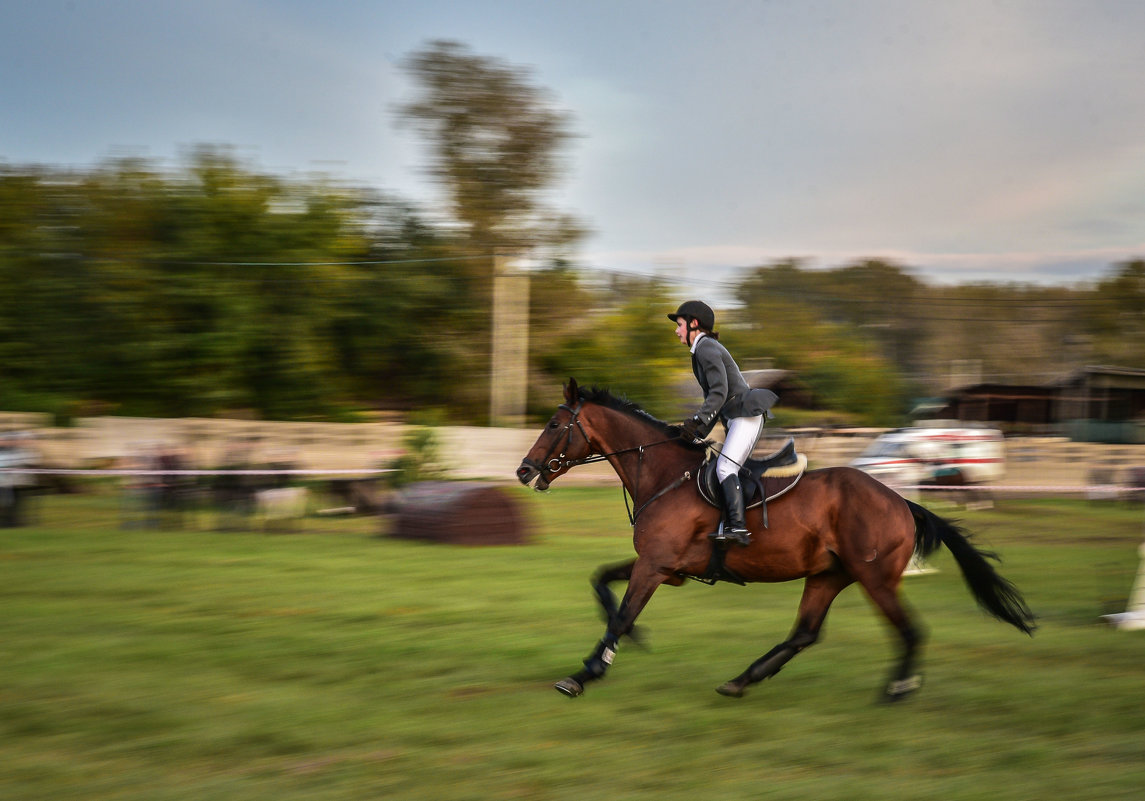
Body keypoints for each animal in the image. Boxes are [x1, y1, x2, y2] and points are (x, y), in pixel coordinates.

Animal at [515, 377, 1035, 695]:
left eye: (554, 424)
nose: (524, 471)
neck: (663, 473)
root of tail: (900, 501)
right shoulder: (665, 567)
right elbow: (602, 583)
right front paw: (621, 645)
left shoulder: (657, 565)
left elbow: (622, 613)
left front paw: (586, 672)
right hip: (829, 574)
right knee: (805, 632)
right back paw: (742, 680)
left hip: (874, 578)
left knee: (908, 630)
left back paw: (897, 690)